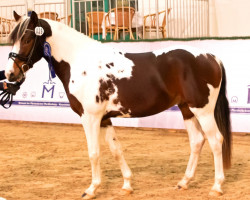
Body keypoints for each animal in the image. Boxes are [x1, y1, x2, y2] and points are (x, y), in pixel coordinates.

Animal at [5, 11, 232, 199]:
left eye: (27, 39)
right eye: (13, 40)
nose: (10, 74)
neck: (81, 62)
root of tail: (212, 57)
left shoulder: (90, 117)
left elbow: (94, 152)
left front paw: (91, 189)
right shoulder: (104, 118)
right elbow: (116, 149)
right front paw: (127, 185)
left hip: (203, 110)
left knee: (215, 140)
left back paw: (216, 187)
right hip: (187, 109)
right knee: (197, 141)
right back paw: (184, 182)